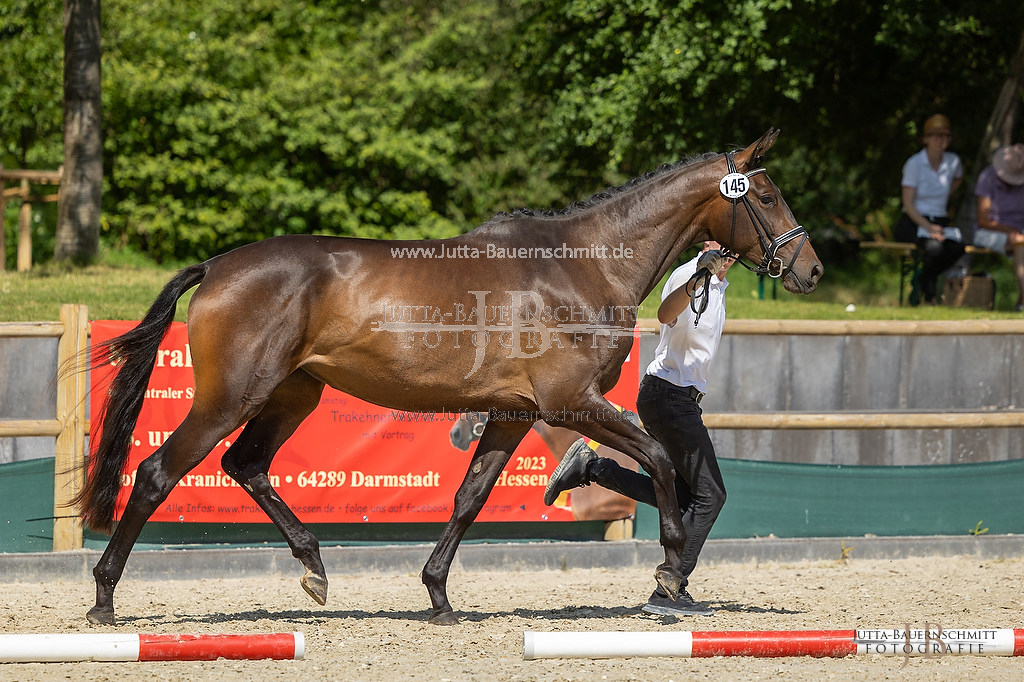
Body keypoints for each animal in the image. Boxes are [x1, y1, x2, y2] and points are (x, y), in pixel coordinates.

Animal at [75, 127, 823, 622]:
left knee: (246, 465)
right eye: (767, 195)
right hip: (231, 396)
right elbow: (663, 460)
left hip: (294, 394)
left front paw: (437, 593)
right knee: (157, 474)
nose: (811, 269)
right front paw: (669, 572)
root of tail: (217, 267)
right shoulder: (570, 402)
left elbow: (469, 497)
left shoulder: (515, 412)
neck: (581, 265)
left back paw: (315, 569)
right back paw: (105, 599)